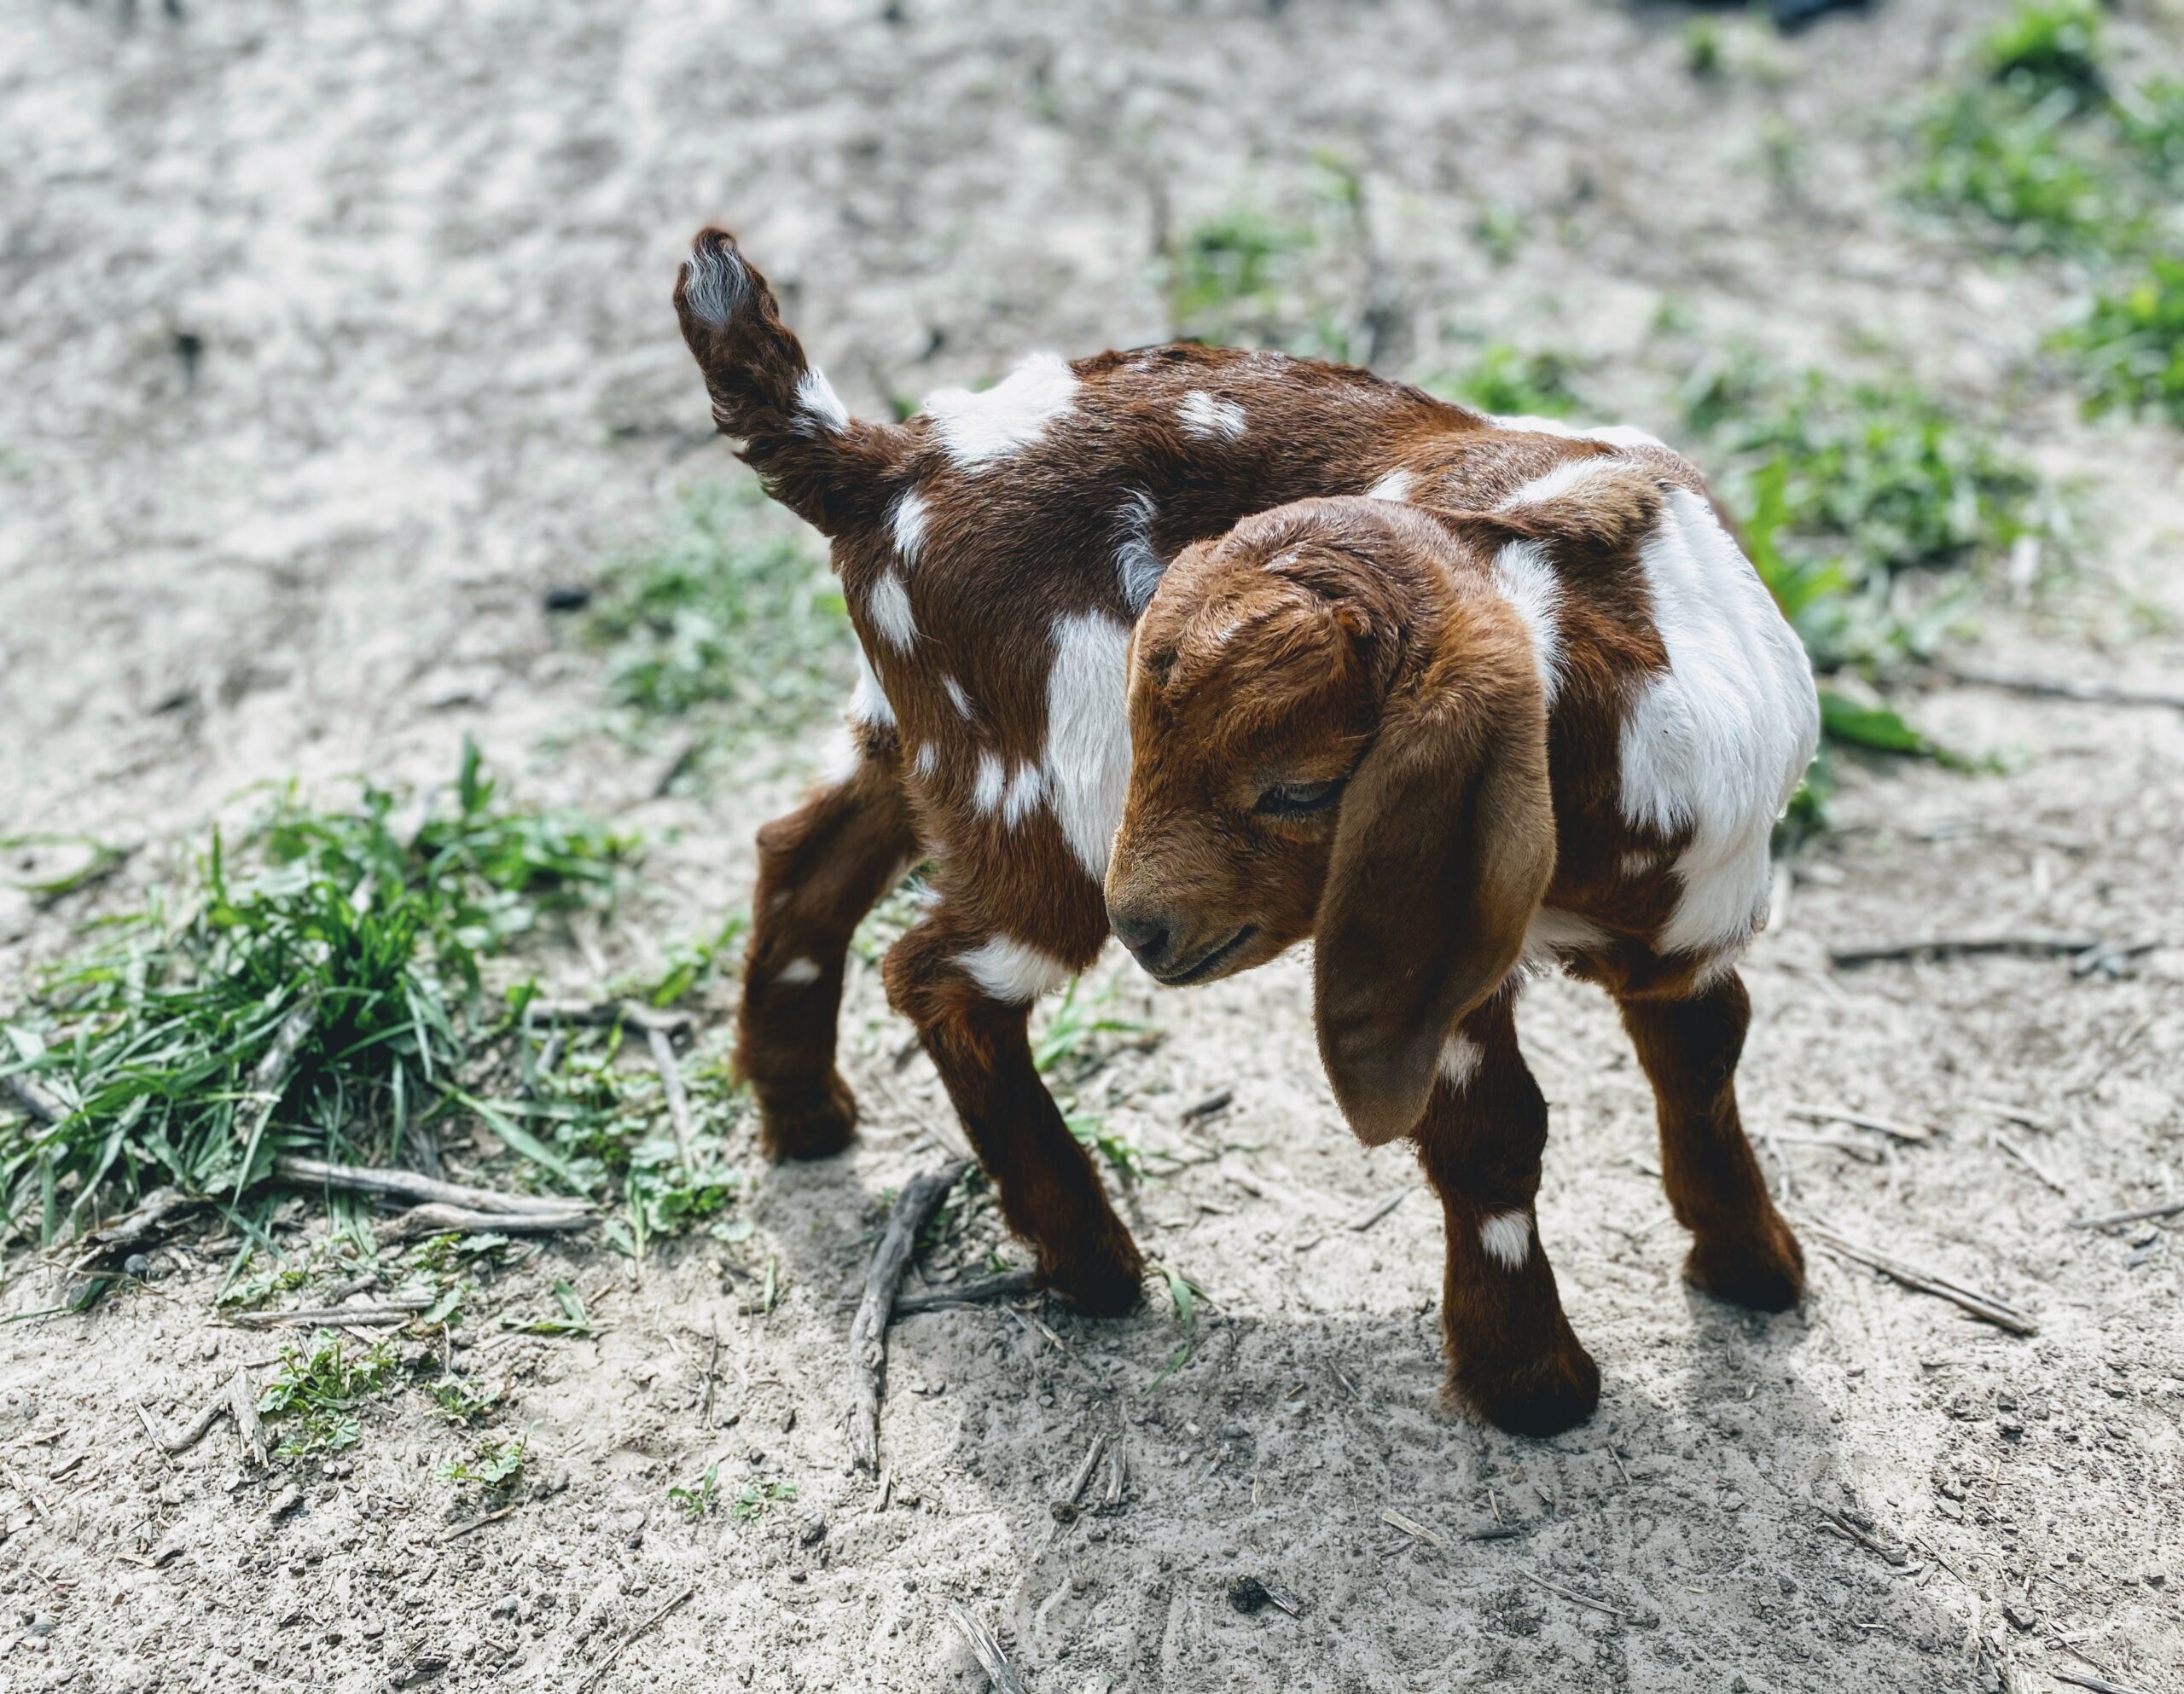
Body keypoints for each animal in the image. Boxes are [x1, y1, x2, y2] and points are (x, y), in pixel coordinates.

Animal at [675, 228, 1818, 1435]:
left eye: (1303, 790)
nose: (1144, 928)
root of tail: (886, 461)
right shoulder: (1436, 959)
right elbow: (1493, 1137)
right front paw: (1532, 1385)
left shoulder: (1691, 923)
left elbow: (1704, 1062)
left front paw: (1752, 1268)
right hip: (1037, 796)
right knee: (940, 975)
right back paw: (1090, 1263)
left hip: (925, 738)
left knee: (801, 855)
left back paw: (802, 1112)